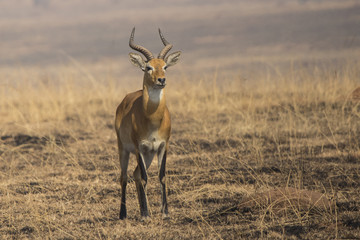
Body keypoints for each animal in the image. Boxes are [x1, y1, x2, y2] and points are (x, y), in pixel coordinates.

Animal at [115, 26, 181, 219]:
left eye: (165, 66)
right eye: (148, 67)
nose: (161, 80)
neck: (152, 120)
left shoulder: (162, 145)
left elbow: (162, 176)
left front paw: (164, 213)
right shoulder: (139, 147)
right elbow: (145, 177)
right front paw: (146, 215)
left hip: (149, 154)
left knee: (135, 174)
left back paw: (143, 209)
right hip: (124, 149)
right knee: (124, 177)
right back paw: (124, 214)